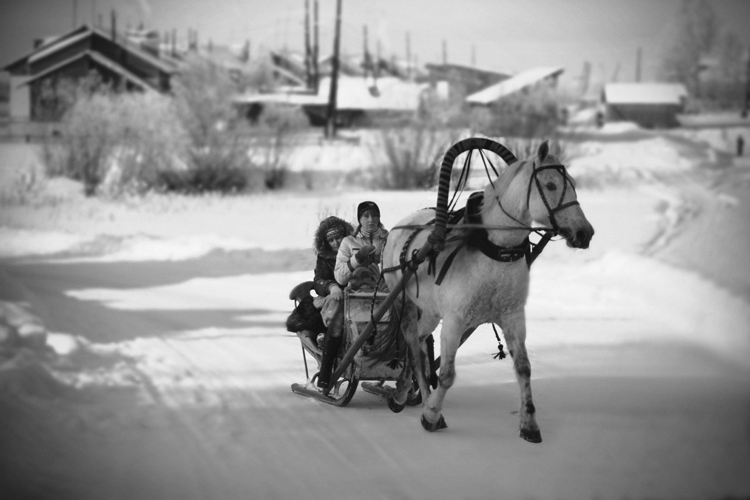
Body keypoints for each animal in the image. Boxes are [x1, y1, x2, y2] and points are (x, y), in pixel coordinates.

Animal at [384, 141, 596, 442]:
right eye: (551, 184)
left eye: (575, 185)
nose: (584, 233)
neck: (495, 250)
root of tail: (399, 226)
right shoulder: (455, 320)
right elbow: (447, 374)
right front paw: (432, 414)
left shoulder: (513, 317)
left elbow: (524, 368)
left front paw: (529, 424)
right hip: (404, 300)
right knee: (413, 346)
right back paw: (423, 399)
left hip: (431, 312)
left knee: (419, 343)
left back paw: (402, 392)